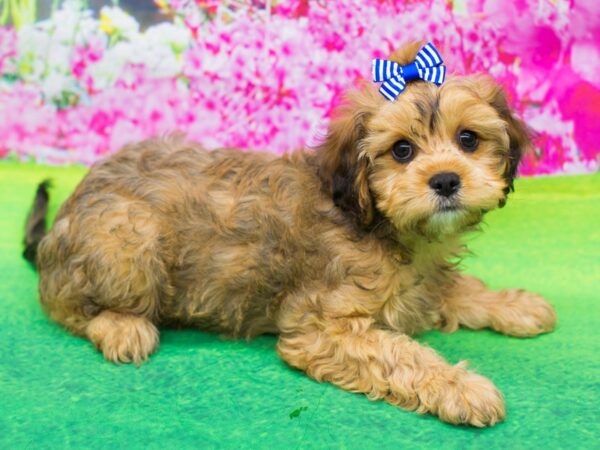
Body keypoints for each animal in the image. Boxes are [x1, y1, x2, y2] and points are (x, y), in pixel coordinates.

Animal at [25, 42, 556, 426]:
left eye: (468, 139)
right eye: (402, 150)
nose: (446, 181)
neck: (376, 221)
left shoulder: (424, 282)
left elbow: (455, 288)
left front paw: (515, 304)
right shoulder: (321, 329)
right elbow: (400, 355)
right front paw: (462, 387)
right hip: (128, 242)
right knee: (69, 308)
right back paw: (122, 326)